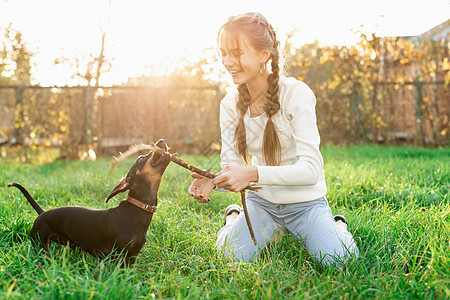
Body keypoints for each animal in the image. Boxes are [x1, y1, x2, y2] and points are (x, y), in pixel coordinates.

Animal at [8, 138, 171, 264]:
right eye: (141, 158)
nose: (162, 140)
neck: (137, 210)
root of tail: (43, 213)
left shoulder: (132, 256)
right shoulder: (119, 257)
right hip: (39, 245)